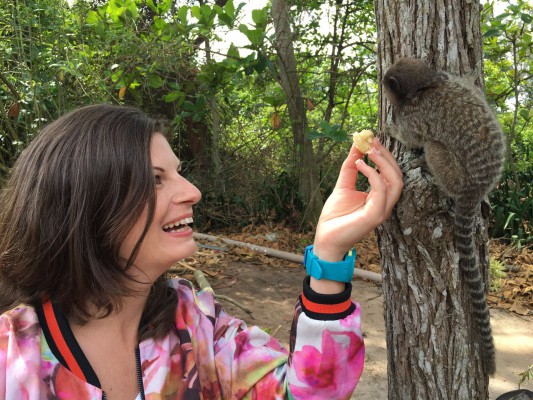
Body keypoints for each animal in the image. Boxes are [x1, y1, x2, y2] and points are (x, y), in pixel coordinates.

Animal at [382, 57, 502, 376]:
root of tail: (475, 190)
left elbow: (413, 136)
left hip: (452, 174)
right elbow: (467, 82)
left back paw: (427, 165)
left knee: (433, 146)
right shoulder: (452, 79)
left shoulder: (412, 113)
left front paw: (394, 131)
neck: (429, 83)